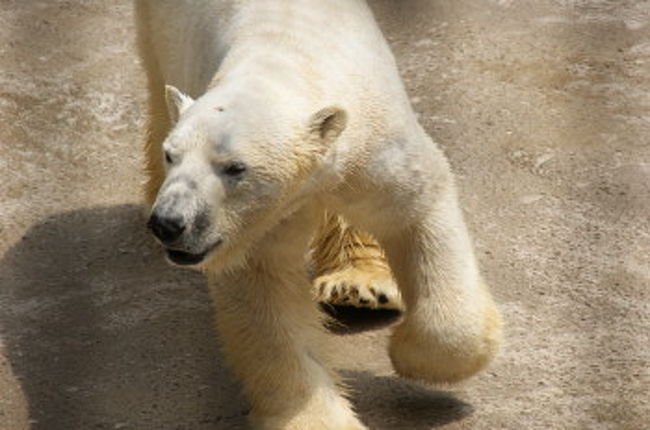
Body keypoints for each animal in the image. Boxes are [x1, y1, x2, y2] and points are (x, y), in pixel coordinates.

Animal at [134, 1, 498, 428]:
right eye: (172, 155)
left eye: (235, 168)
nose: (168, 224)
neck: (284, 59)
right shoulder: (256, 225)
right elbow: (267, 295)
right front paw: (318, 417)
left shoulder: (372, 145)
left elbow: (417, 213)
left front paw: (413, 357)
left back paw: (360, 286)